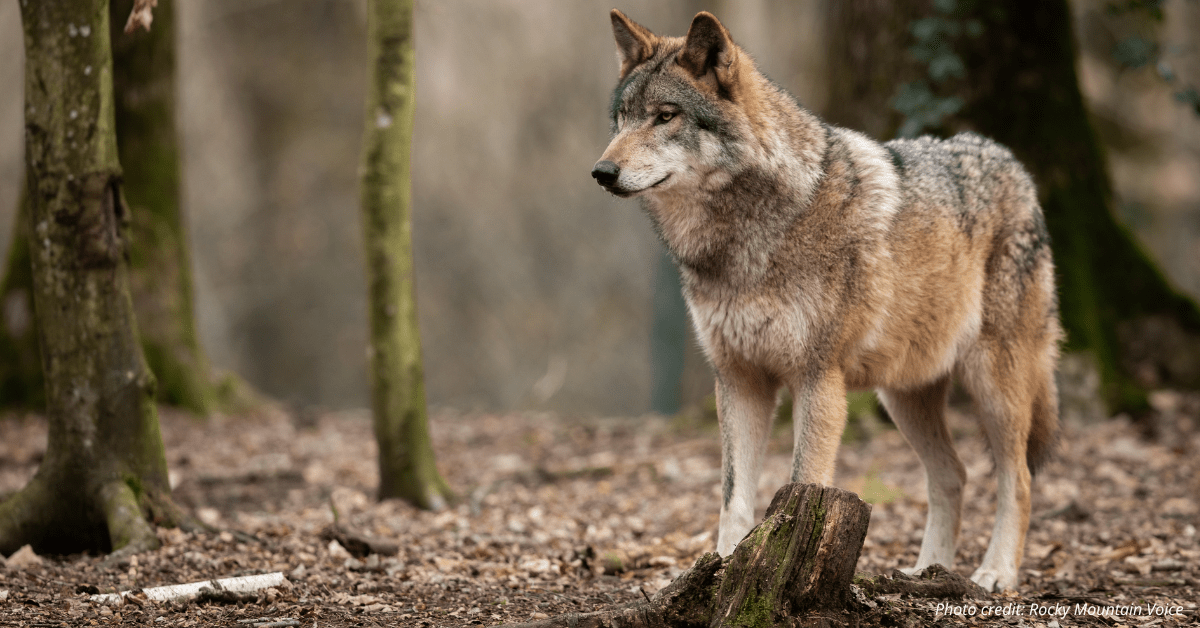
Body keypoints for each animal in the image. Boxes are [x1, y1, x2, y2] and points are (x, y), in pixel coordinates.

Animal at [590, 7, 1060, 593]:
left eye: (665, 116)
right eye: (622, 119)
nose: (602, 172)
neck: (744, 241)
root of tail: (1012, 162)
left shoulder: (818, 379)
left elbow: (801, 486)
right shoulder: (739, 380)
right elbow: (733, 499)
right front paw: (723, 571)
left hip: (994, 386)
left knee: (1018, 479)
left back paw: (995, 573)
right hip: (903, 397)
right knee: (953, 474)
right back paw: (927, 571)